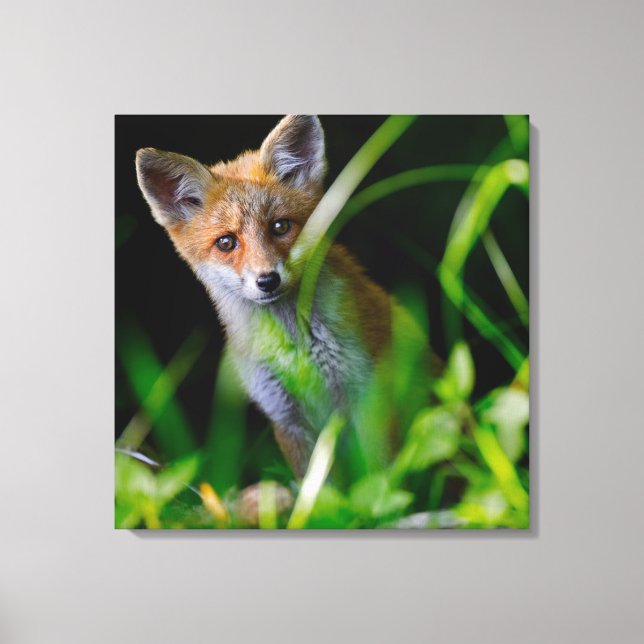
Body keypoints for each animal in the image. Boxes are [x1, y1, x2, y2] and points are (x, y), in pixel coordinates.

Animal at [136, 115, 429, 483]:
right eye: (227, 243)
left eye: (280, 227)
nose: (267, 280)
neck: (295, 348)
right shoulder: (285, 417)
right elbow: (319, 488)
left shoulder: (368, 397)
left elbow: (378, 477)